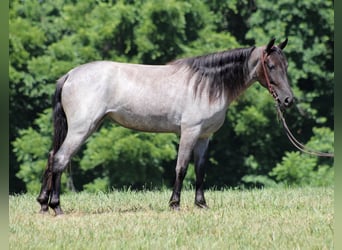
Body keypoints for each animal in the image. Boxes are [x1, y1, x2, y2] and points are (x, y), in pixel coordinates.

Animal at [37, 37, 294, 215]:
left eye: (286, 65)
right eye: (270, 66)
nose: (288, 100)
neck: (207, 85)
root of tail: (70, 75)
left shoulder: (204, 137)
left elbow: (200, 170)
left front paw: (201, 204)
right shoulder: (189, 132)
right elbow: (181, 167)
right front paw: (175, 204)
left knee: (52, 157)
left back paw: (43, 203)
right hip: (82, 129)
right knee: (60, 159)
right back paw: (56, 206)